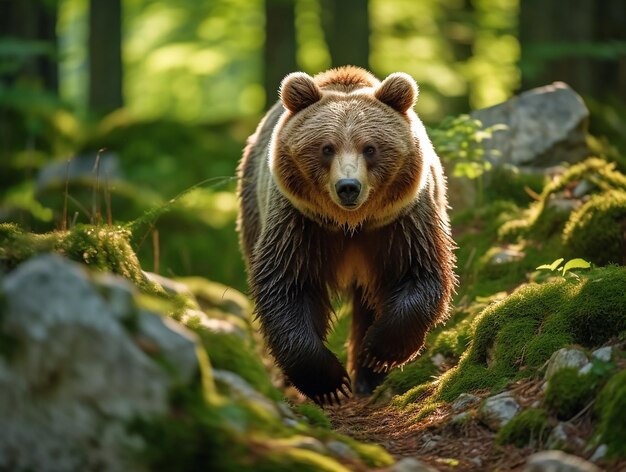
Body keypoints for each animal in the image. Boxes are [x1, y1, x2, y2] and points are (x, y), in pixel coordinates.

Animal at [234, 66, 454, 406]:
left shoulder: (402, 220)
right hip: (253, 205)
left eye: (370, 148)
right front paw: (329, 382)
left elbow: (419, 273)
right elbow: (287, 286)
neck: (350, 223)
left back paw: (368, 376)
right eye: (327, 147)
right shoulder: (299, 222)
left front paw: (378, 351)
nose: (348, 186)